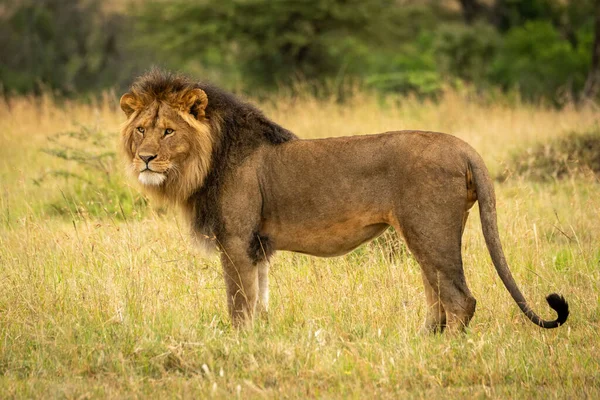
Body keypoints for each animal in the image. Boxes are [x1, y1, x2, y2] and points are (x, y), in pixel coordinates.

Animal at [117, 70, 568, 332]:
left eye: (169, 131)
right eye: (140, 130)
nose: (146, 158)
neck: (207, 159)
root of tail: (463, 147)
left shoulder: (236, 240)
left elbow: (239, 303)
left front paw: (238, 343)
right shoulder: (257, 247)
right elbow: (260, 300)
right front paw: (261, 339)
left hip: (429, 230)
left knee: (460, 299)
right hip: (428, 236)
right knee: (437, 296)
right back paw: (422, 341)